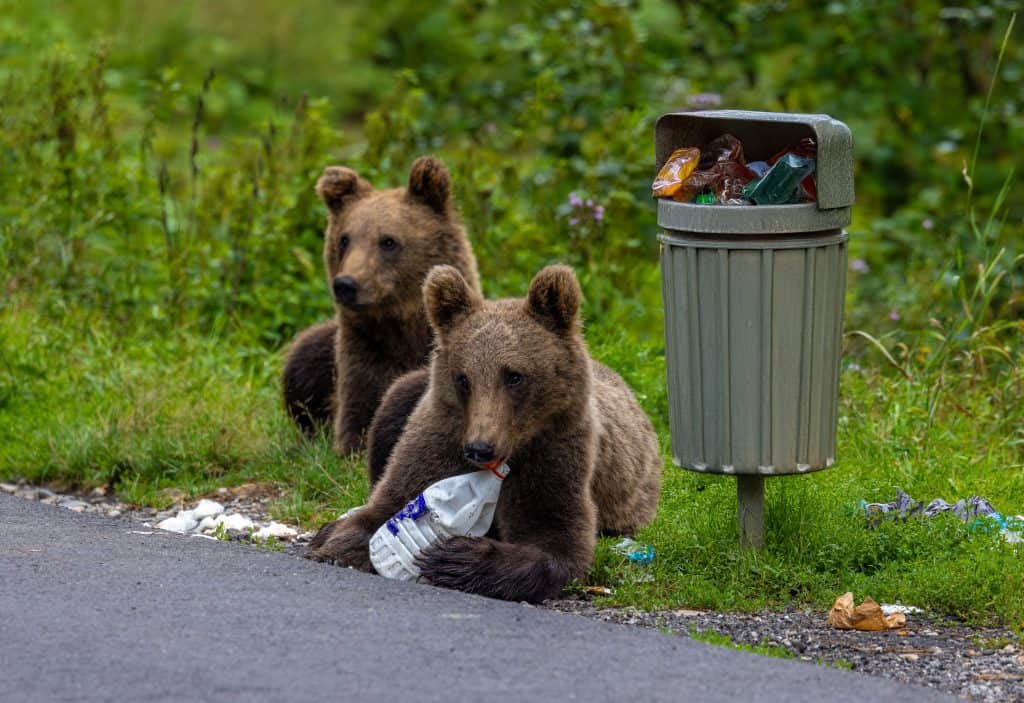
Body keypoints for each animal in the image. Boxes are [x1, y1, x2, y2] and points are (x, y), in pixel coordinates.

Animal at [281, 156, 480, 456]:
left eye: (388, 241)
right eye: (344, 239)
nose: (346, 284)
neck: (403, 326)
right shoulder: (363, 353)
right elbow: (359, 417)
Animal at [306, 264, 662, 603]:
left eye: (515, 376)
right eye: (463, 378)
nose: (480, 447)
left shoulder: (555, 455)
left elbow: (556, 539)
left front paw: (455, 557)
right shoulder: (437, 438)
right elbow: (386, 504)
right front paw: (336, 544)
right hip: (406, 393)